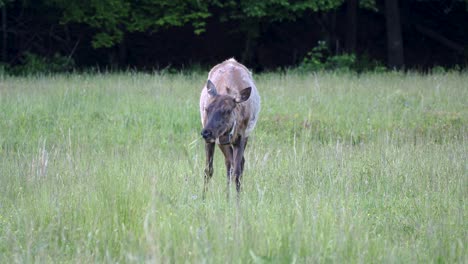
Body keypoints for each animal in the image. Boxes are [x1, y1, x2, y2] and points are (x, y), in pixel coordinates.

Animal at [199, 58, 262, 198]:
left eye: (227, 110)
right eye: (207, 108)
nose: (206, 133)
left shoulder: (241, 136)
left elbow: (237, 172)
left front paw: (238, 199)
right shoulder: (217, 139)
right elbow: (208, 170)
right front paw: (203, 198)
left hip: (244, 136)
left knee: (239, 163)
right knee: (228, 162)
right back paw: (227, 195)